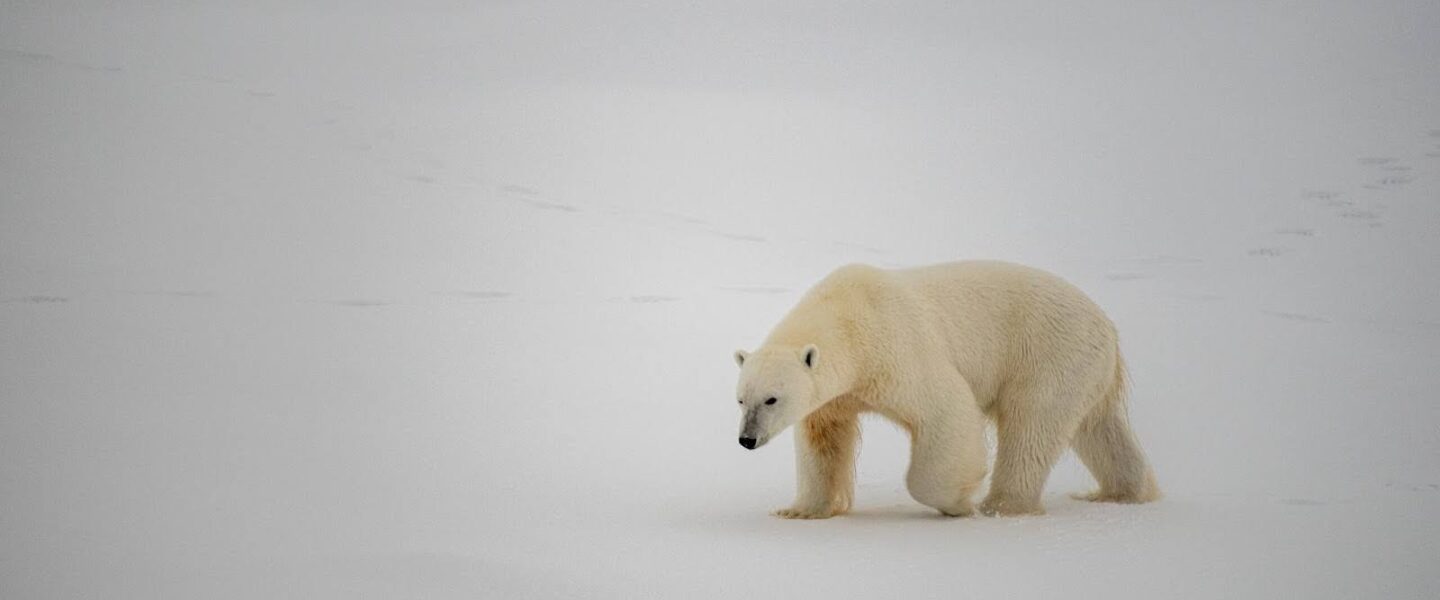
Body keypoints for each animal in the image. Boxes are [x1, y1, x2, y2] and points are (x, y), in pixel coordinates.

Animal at [732, 261, 1160, 519]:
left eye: (771, 398)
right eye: (740, 399)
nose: (746, 440)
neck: (848, 315)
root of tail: (1106, 324)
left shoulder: (895, 348)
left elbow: (946, 409)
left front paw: (957, 499)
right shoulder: (839, 395)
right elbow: (822, 440)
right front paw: (801, 510)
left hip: (1049, 353)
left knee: (1031, 428)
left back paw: (1000, 505)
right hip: (1085, 369)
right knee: (1098, 429)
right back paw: (1123, 492)